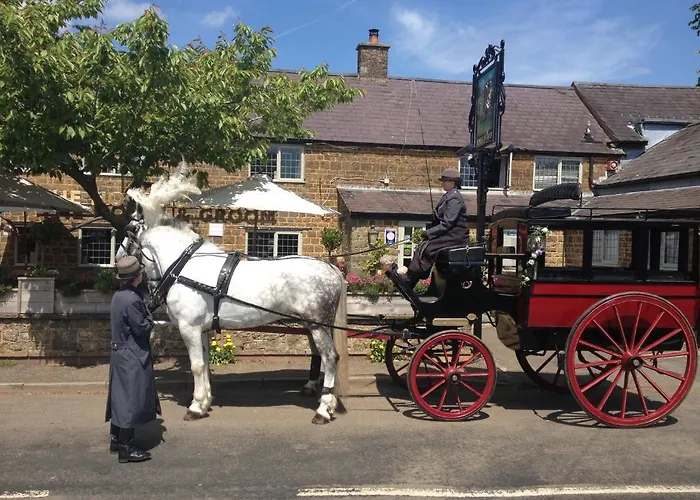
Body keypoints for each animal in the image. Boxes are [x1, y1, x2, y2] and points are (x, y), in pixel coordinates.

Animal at [115, 165, 347, 424]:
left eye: (130, 229)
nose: (118, 257)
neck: (184, 266)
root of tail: (331, 268)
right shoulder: (202, 328)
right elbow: (205, 363)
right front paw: (205, 401)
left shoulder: (189, 327)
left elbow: (196, 365)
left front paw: (195, 406)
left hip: (318, 325)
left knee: (330, 357)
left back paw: (323, 410)